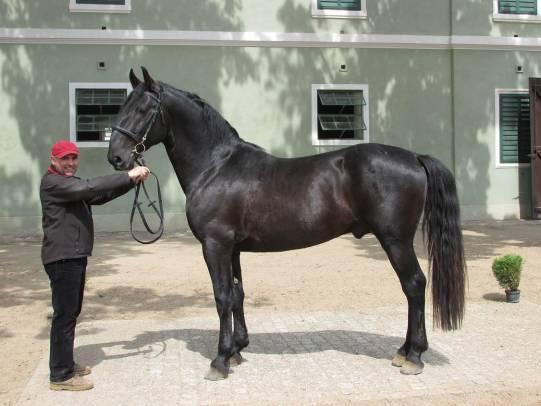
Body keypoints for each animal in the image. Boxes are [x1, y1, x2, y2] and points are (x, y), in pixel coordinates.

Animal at [108, 67, 464, 380]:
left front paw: (220, 360)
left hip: (396, 240)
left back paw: (413, 355)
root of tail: (414, 157)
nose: (116, 158)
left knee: (414, 285)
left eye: (143, 110)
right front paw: (237, 350)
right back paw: (405, 351)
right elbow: (237, 294)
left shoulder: (215, 244)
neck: (216, 167)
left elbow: (221, 296)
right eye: (122, 106)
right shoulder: (232, 248)